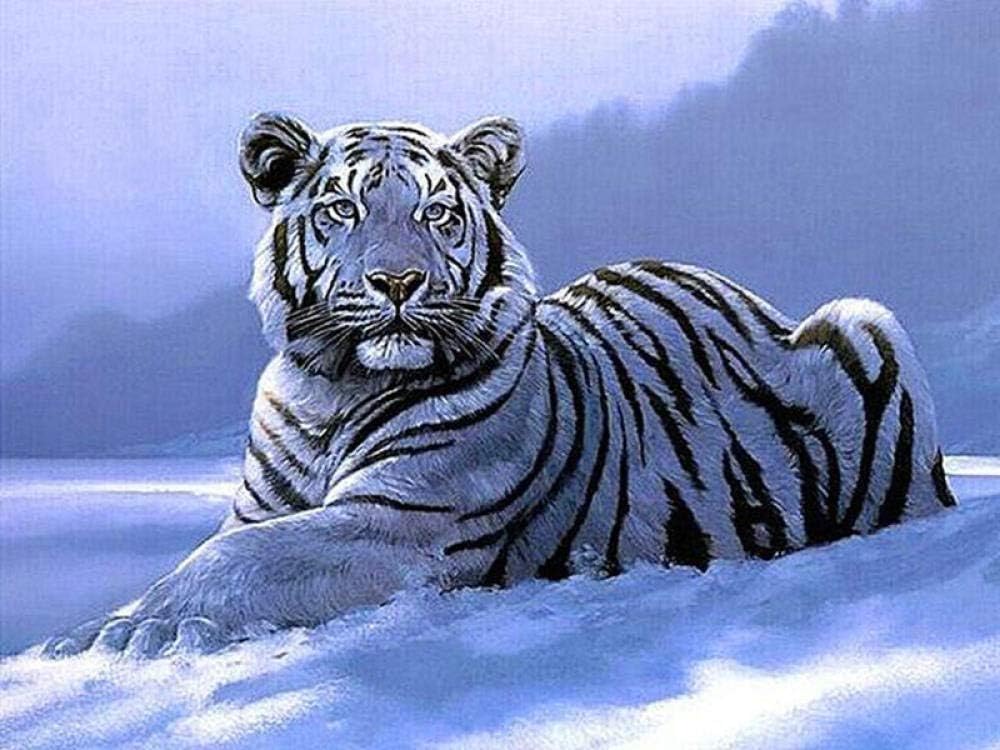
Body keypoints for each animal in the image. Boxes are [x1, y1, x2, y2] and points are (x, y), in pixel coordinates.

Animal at [45, 113, 956, 658]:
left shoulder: (402, 522)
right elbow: (227, 546)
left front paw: (116, 635)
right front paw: (117, 625)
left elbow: (235, 559)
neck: (332, 389)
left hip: (867, 322)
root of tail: (752, 297)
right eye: (341, 210)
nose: (398, 283)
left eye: (438, 214)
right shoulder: (268, 504)